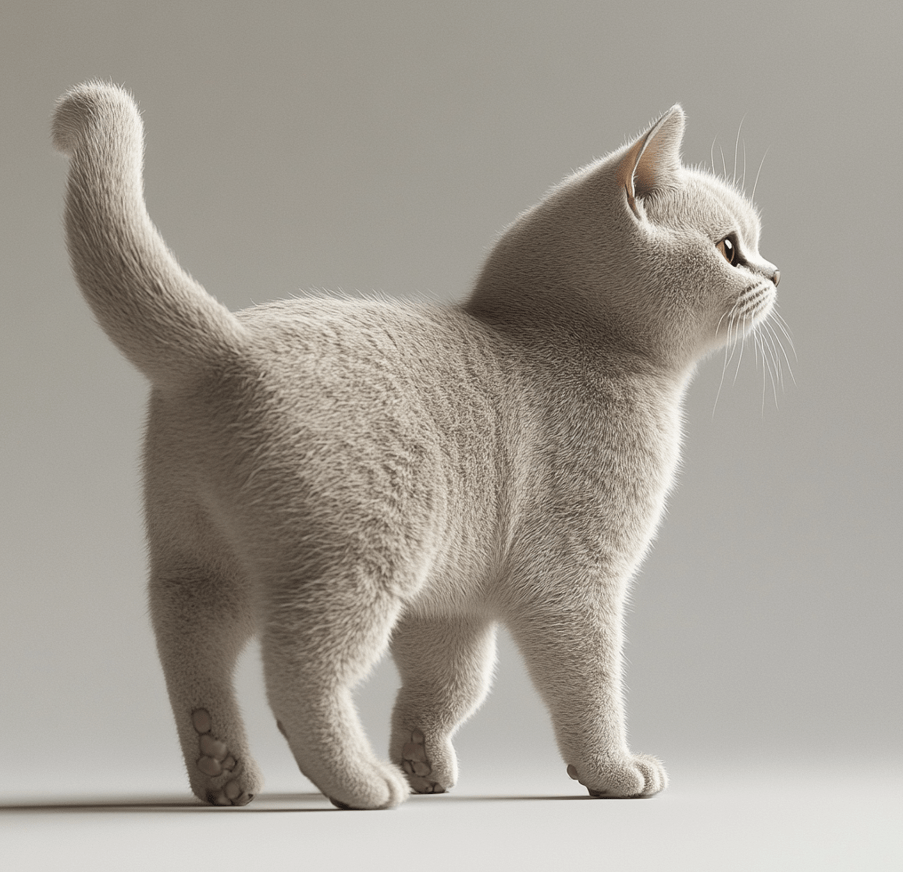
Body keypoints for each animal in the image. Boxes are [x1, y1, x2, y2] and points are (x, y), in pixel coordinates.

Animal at [53, 82, 780, 812]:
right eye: (728, 247)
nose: (776, 274)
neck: (570, 341)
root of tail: (227, 348)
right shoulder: (575, 581)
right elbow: (588, 686)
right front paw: (614, 771)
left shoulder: (452, 606)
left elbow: (448, 686)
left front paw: (425, 759)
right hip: (358, 562)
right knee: (297, 671)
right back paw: (360, 781)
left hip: (200, 561)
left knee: (188, 645)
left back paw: (220, 765)